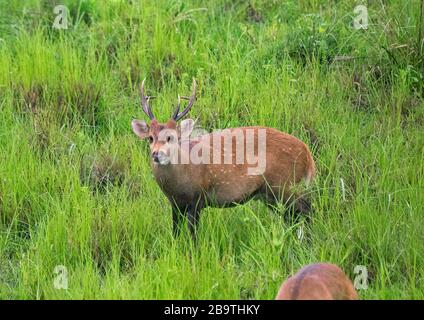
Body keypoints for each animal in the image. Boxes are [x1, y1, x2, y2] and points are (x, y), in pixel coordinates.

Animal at [132, 79, 314, 240]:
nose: (156, 154)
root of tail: (307, 153)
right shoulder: (174, 204)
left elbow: (193, 235)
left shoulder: (197, 198)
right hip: (269, 193)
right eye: (150, 138)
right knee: (291, 216)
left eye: (171, 137)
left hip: (283, 184)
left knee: (306, 208)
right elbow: (175, 234)